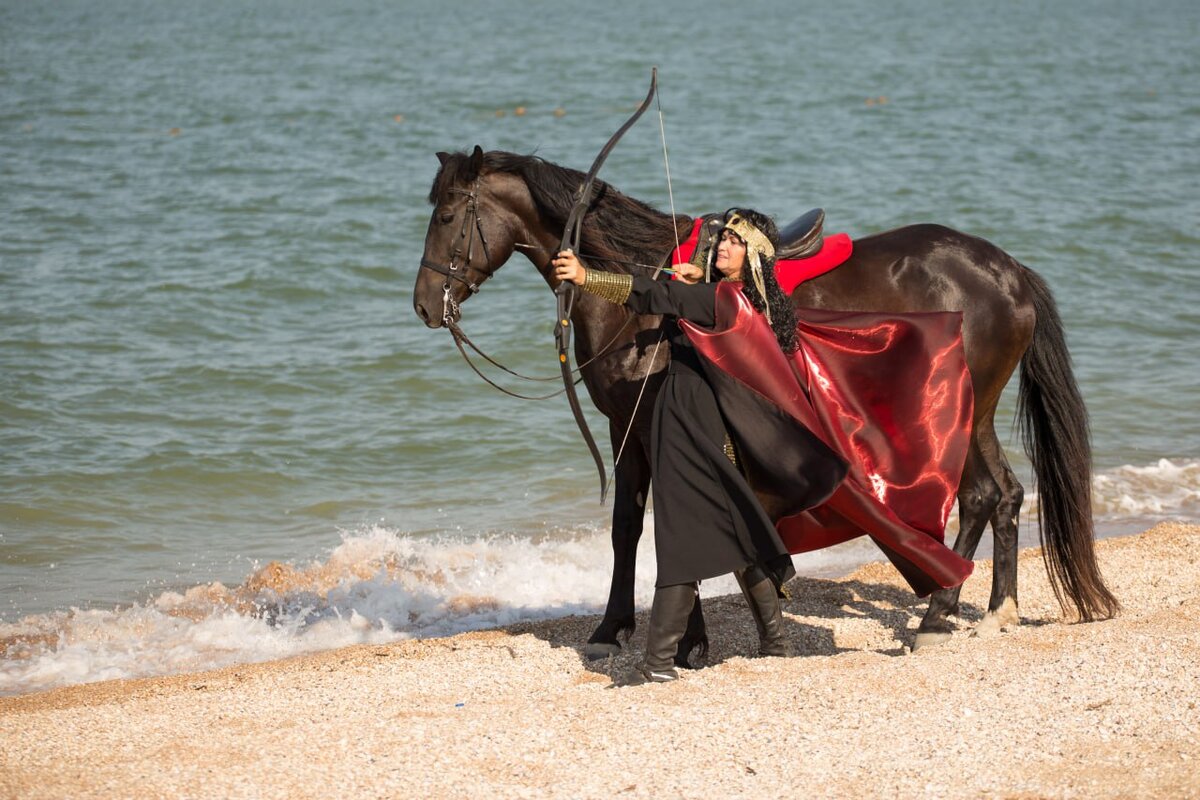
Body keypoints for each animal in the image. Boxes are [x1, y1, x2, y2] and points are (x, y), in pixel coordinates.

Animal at [417, 146, 1118, 662]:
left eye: (448, 215)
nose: (425, 305)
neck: (636, 293)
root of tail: (1008, 271)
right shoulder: (627, 425)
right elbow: (628, 526)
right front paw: (624, 629)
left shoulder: (644, 422)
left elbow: (656, 521)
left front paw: (677, 638)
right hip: (977, 411)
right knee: (1002, 495)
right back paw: (983, 611)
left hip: (966, 411)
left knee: (981, 495)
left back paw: (943, 614)